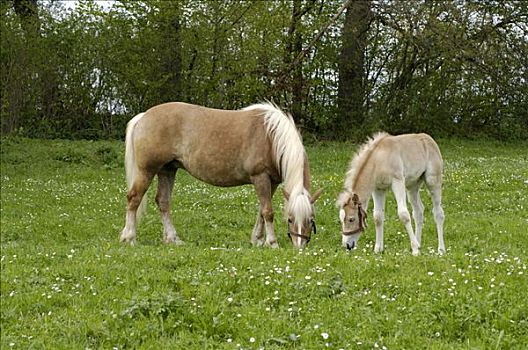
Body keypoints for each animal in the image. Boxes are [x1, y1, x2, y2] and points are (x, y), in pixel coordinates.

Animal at [118, 102, 322, 247]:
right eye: (290, 219)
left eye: (311, 220)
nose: (299, 246)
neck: (271, 138)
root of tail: (144, 116)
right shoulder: (261, 178)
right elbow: (268, 212)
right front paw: (271, 243)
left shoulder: (271, 182)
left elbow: (261, 211)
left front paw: (257, 239)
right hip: (147, 171)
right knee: (134, 199)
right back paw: (129, 237)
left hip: (167, 170)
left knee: (163, 201)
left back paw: (172, 239)